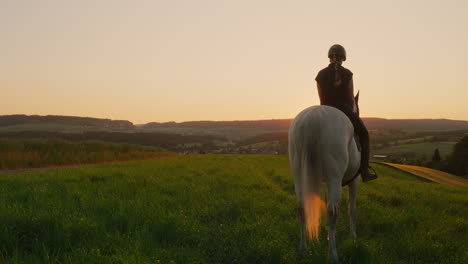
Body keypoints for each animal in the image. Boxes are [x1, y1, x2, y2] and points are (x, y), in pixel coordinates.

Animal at [288, 94, 362, 262]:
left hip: (299, 176)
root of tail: (312, 119)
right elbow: (352, 209)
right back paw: (333, 254)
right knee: (332, 212)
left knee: (302, 209)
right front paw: (353, 236)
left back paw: (303, 248)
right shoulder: (354, 181)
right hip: (335, 178)